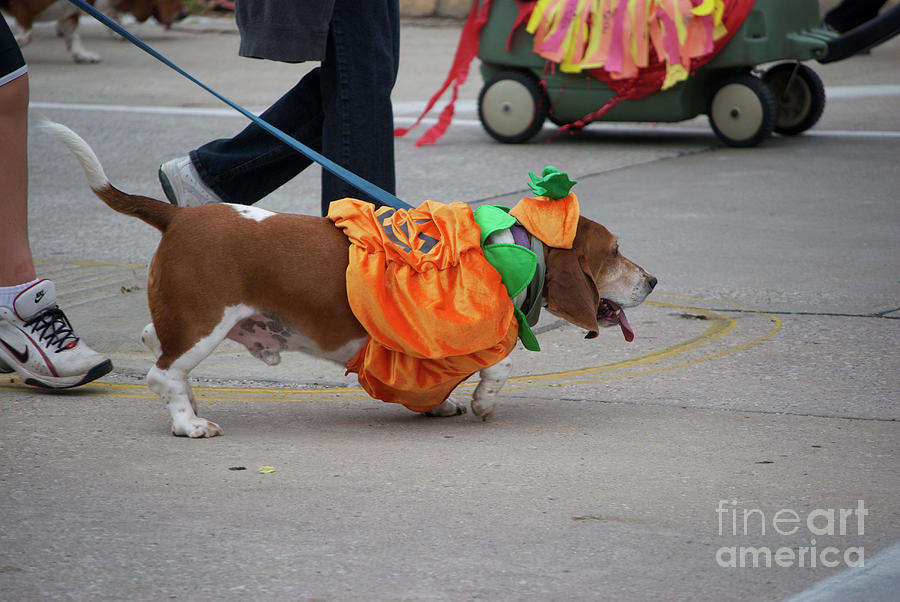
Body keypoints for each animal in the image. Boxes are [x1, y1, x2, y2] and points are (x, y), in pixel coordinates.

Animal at [49, 122, 656, 438]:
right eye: (615, 252)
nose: (651, 280)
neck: (508, 247)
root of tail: (179, 216)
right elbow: (499, 368)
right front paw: (483, 402)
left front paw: (442, 405)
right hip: (204, 323)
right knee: (162, 373)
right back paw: (189, 423)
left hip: (190, 321)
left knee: (156, 345)